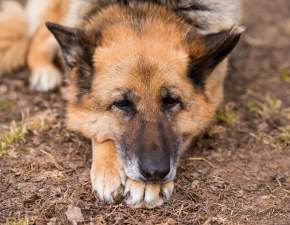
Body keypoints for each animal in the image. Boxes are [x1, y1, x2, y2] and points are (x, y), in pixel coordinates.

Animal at [0, 0, 242, 207]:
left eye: (171, 101)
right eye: (122, 104)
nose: (155, 173)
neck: (142, 6)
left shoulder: (210, 103)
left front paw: (146, 186)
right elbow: (101, 131)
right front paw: (108, 171)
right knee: (36, 39)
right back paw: (44, 72)